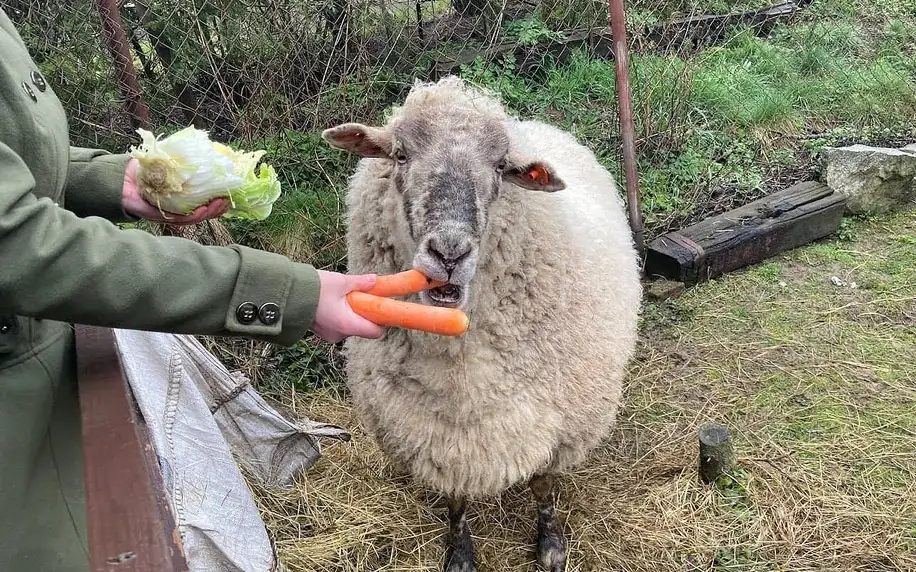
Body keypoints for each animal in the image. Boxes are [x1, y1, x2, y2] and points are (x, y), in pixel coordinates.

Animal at [322, 77, 644, 572]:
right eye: (400, 154)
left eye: (499, 166)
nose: (450, 253)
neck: (462, 371)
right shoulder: (438, 440)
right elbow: (456, 500)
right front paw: (459, 553)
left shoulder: (562, 426)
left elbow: (543, 485)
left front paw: (550, 545)